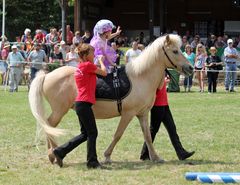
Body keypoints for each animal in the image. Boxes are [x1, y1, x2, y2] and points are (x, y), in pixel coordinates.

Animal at [28, 34, 193, 164]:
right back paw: (53, 154)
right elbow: (118, 134)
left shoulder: (142, 114)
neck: (140, 77)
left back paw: (54, 154)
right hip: (59, 110)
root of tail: (47, 75)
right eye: (175, 51)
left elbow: (147, 135)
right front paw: (107, 156)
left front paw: (155, 157)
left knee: (50, 126)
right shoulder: (128, 114)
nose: (190, 68)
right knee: (49, 125)